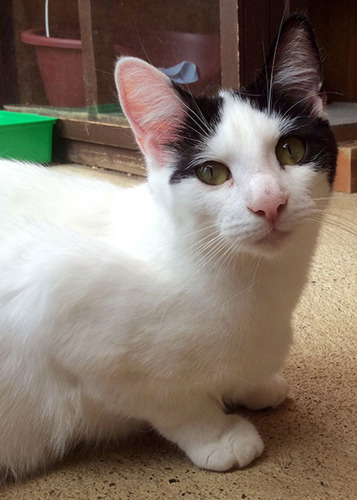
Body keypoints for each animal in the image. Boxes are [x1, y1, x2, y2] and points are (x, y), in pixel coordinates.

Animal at [0, 15, 336, 480]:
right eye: (211, 173)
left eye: (292, 149)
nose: (269, 203)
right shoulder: (58, 309)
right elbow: (171, 401)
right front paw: (218, 435)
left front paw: (252, 384)